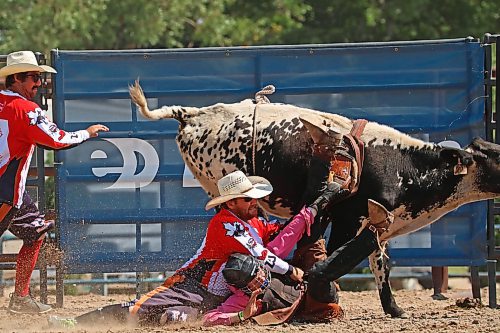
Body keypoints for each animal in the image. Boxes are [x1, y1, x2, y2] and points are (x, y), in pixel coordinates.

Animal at [128, 81, 500, 316]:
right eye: (496, 156)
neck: (397, 163)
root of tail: (194, 115)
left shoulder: (375, 219)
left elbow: (380, 262)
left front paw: (394, 309)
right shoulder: (349, 217)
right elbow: (337, 255)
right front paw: (323, 293)